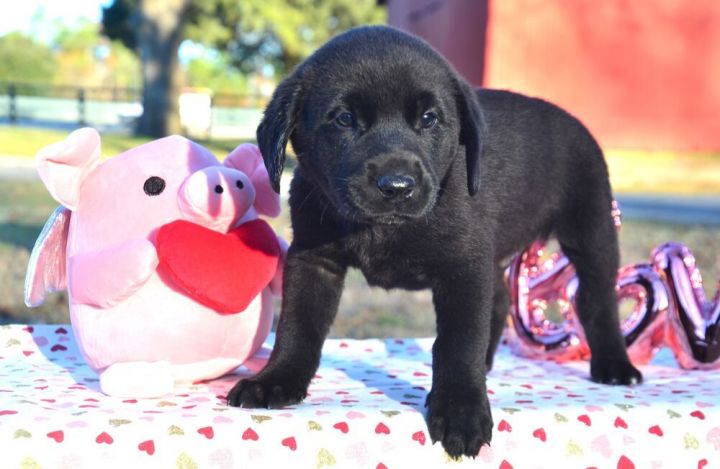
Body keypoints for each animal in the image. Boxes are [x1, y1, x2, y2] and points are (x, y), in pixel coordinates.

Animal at [226, 25, 640, 458]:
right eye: (344, 119)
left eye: (429, 119)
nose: (396, 186)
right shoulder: (313, 260)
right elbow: (297, 326)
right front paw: (276, 379)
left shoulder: (463, 267)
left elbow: (458, 343)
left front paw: (461, 411)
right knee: (498, 301)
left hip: (593, 231)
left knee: (597, 300)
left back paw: (614, 365)